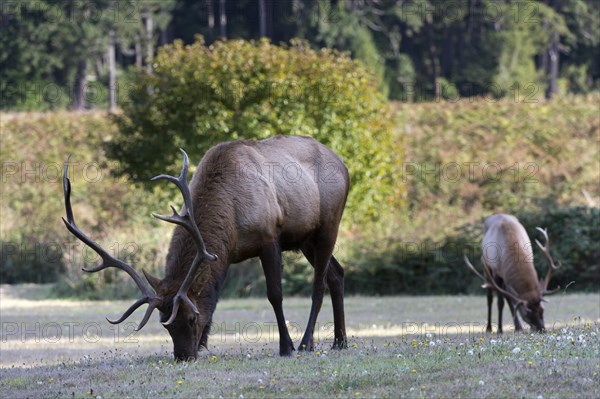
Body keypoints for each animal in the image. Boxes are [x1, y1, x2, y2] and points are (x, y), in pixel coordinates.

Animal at [62, 136, 350, 360]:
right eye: (165, 324)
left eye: (190, 318)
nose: (183, 356)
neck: (231, 217)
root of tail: (344, 166)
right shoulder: (226, 255)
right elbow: (214, 297)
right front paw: (204, 343)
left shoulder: (269, 238)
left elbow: (275, 294)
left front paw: (286, 346)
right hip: (306, 240)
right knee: (337, 273)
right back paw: (341, 341)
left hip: (329, 224)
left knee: (319, 284)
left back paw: (306, 343)